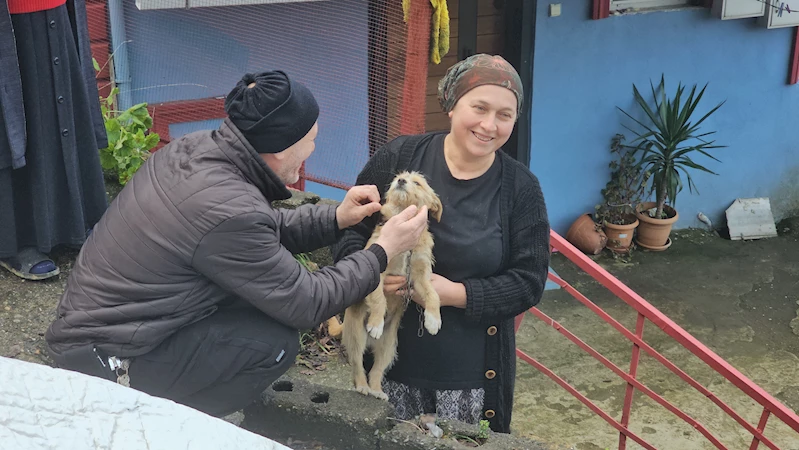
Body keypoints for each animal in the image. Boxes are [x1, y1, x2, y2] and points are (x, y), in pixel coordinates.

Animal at [332, 171, 440, 400]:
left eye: (417, 183)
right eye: (399, 177)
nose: (401, 181)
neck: (403, 218)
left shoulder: (420, 277)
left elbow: (433, 295)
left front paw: (434, 320)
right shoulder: (376, 271)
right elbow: (379, 299)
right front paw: (376, 323)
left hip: (388, 346)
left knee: (377, 369)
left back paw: (376, 390)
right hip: (356, 335)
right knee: (357, 364)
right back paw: (363, 386)